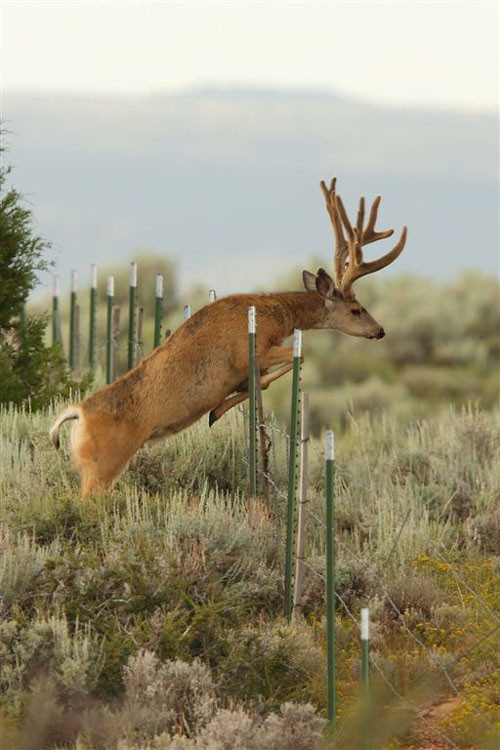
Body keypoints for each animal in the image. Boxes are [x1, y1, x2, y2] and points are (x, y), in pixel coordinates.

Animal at [49, 178, 406, 500]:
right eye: (357, 309)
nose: (380, 330)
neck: (277, 314)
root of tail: (79, 413)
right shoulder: (251, 349)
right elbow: (293, 360)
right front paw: (222, 406)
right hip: (103, 466)